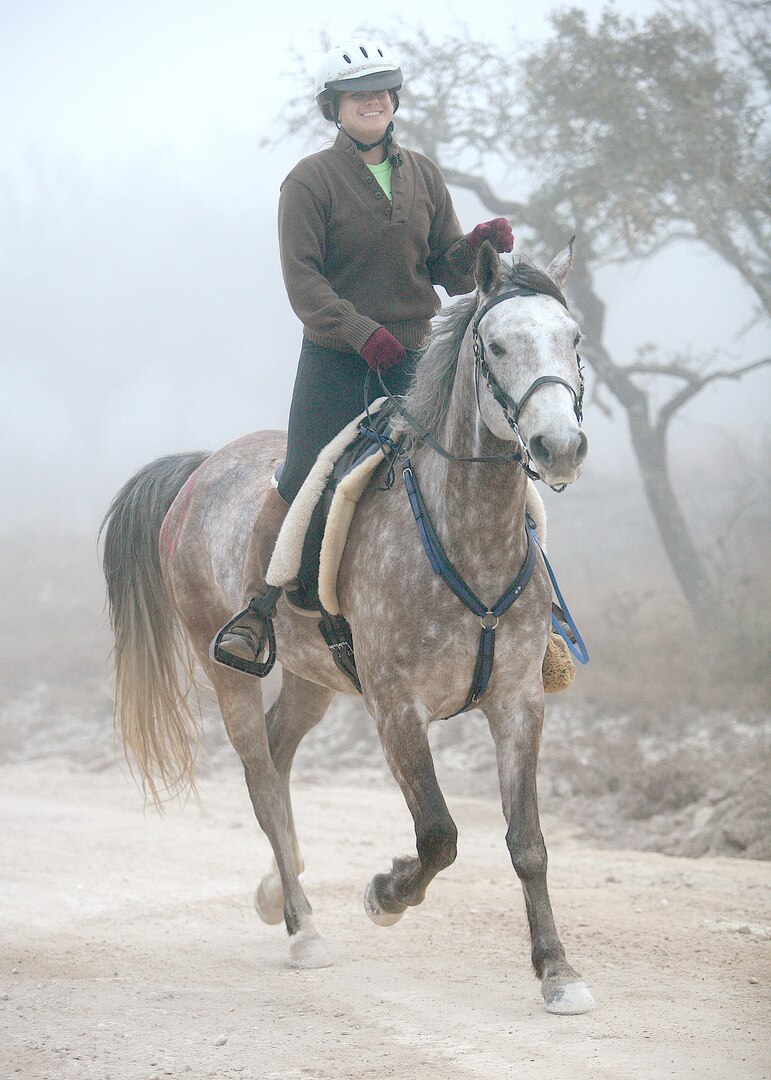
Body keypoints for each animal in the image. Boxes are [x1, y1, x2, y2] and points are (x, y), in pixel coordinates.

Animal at [102, 240, 591, 1015]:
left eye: (571, 339)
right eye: (495, 345)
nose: (559, 445)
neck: (470, 537)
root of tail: (201, 468)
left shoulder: (518, 702)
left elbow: (528, 842)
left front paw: (556, 971)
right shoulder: (396, 709)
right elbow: (438, 834)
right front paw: (384, 895)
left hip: (315, 679)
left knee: (277, 759)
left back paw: (277, 890)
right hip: (226, 671)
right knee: (261, 778)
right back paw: (302, 929)